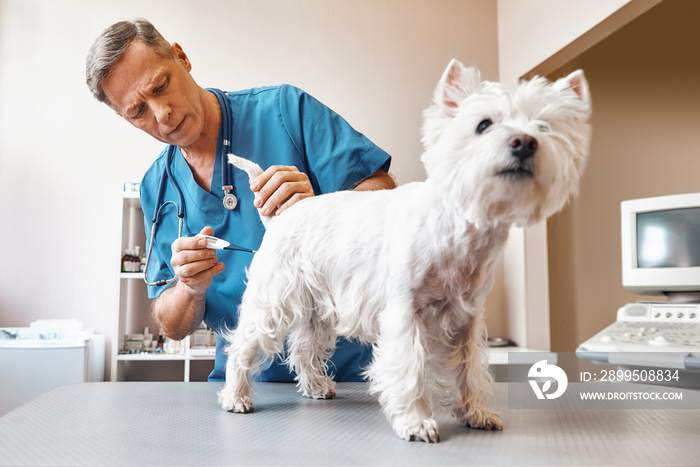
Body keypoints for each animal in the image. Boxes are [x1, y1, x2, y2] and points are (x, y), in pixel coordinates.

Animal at [219, 60, 592, 444]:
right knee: (243, 345)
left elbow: (469, 368)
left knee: (304, 348)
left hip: (315, 309)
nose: (524, 143)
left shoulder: (467, 319)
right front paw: (416, 423)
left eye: (544, 127)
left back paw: (317, 387)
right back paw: (236, 397)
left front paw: (477, 412)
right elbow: (409, 367)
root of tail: (280, 217)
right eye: (484, 124)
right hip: (274, 299)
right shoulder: (403, 311)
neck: (458, 228)